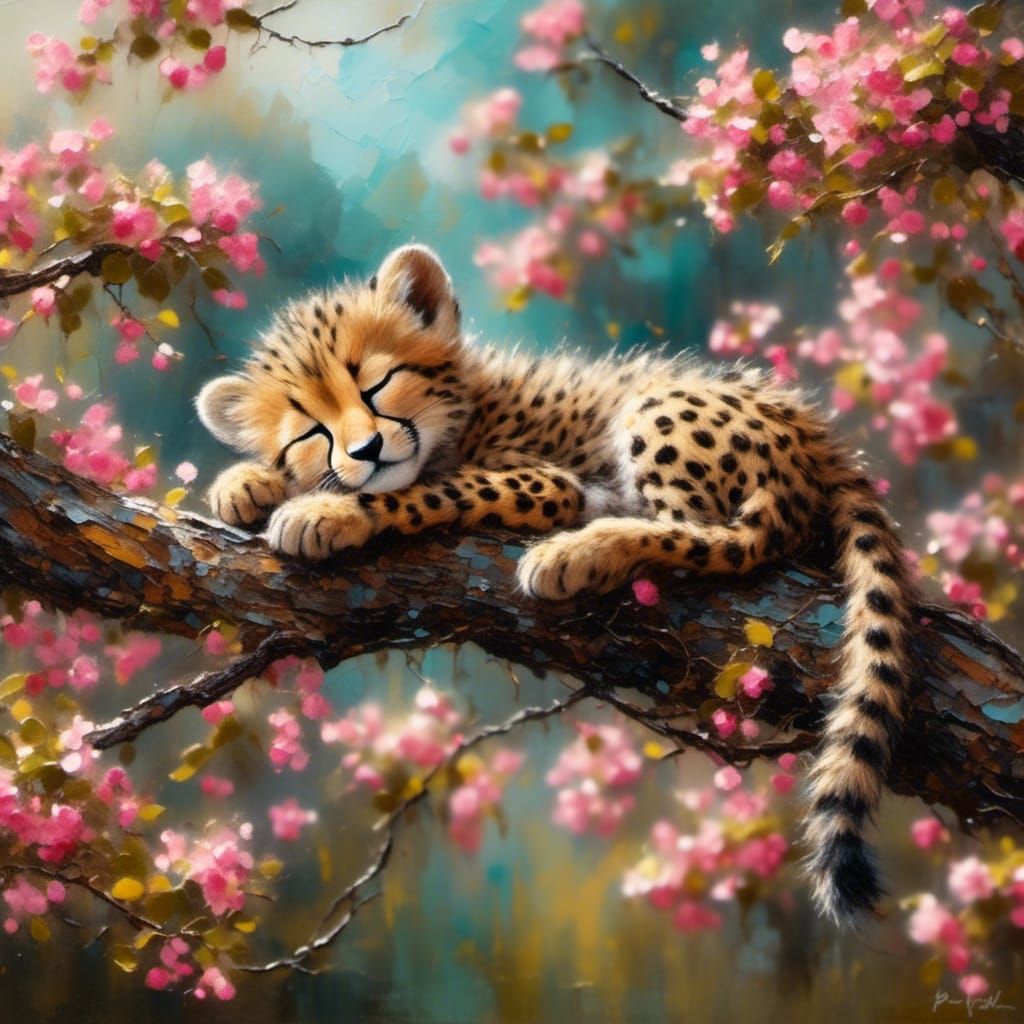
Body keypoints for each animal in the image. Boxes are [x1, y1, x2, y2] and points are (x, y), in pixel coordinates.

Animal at [197, 243, 916, 927]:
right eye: (311, 429)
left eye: (378, 384)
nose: (367, 451)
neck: (463, 412)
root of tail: (818, 439)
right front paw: (247, 483)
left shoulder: (548, 484)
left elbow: (422, 494)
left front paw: (325, 511)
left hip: (660, 411)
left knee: (724, 539)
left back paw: (580, 551)